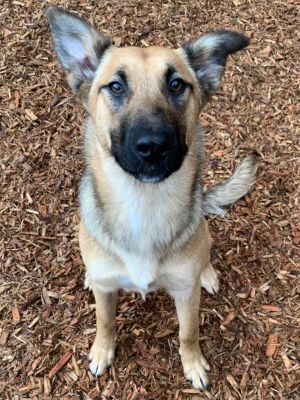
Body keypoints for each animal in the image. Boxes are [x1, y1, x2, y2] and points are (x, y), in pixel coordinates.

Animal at [47, 4, 258, 390]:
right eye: (116, 86)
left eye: (176, 84)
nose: (153, 146)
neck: (142, 203)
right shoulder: (106, 293)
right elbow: (105, 322)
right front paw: (102, 351)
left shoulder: (185, 295)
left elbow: (188, 333)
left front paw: (193, 364)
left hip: (202, 238)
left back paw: (207, 274)